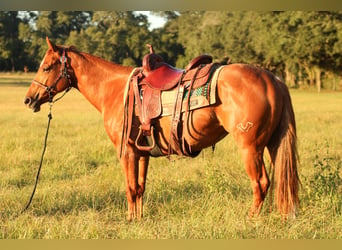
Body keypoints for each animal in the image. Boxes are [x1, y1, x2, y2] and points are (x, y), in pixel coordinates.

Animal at [24, 37, 300, 221]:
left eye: (46, 67)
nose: (28, 99)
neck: (114, 89)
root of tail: (272, 79)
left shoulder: (127, 152)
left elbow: (130, 188)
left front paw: (130, 220)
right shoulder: (142, 152)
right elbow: (140, 188)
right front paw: (138, 219)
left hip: (250, 148)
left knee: (261, 183)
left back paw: (251, 218)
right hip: (272, 145)